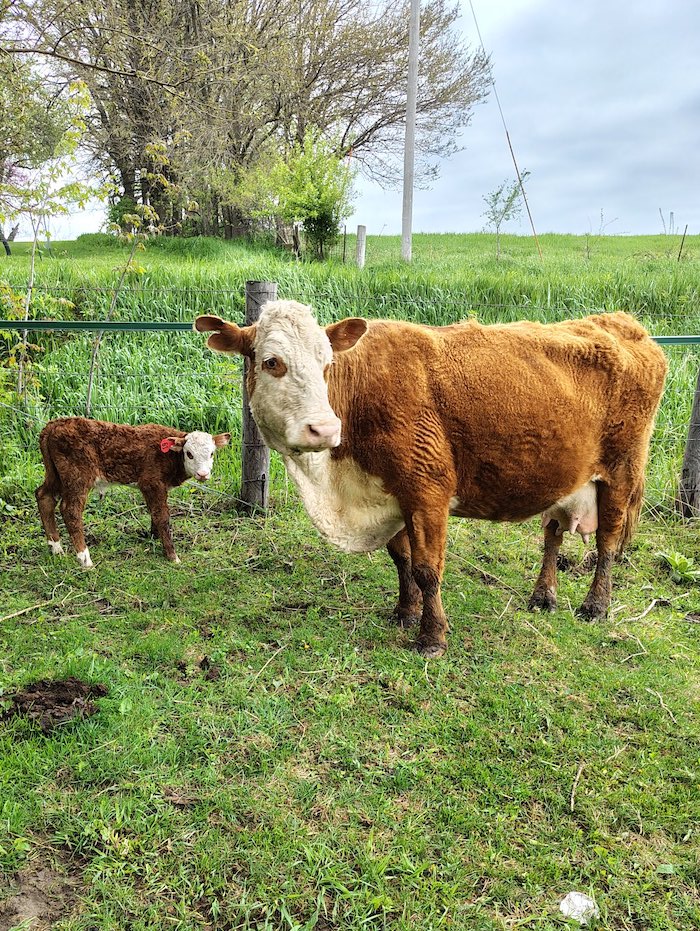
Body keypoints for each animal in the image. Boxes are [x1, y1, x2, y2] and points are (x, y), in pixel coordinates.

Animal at [195, 302, 667, 658]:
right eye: (272, 362)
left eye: (327, 363)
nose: (324, 429)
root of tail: (624, 323)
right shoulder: (392, 494)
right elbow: (401, 559)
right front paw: (405, 613)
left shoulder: (428, 490)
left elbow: (427, 568)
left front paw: (432, 636)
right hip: (561, 477)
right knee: (552, 535)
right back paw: (543, 596)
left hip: (621, 472)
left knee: (607, 542)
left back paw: (595, 606)